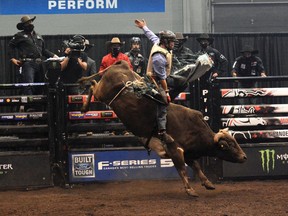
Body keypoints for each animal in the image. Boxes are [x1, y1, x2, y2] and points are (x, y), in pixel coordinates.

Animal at [79, 60, 248, 197]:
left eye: (235, 142)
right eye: (229, 145)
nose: (244, 157)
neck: (195, 130)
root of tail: (122, 65)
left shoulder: (188, 153)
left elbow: (197, 167)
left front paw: (207, 183)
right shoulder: (175, 150)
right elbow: (182, 170)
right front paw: (190, 190)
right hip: (102, 93)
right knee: (93, 84)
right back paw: (84, 107)